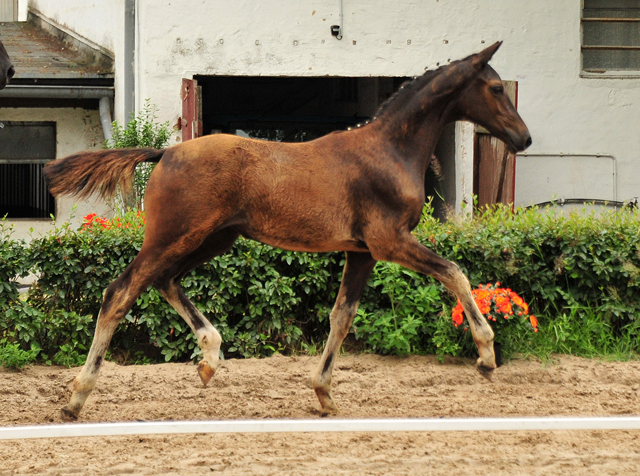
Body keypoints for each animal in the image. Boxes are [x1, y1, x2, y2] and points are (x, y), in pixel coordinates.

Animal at [45, 41, 528, 420]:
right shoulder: (389, 242)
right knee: (120, 292)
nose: (523, 138)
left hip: (213, 238)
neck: (390, 149)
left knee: (165, 280)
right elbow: (454, 271)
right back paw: (76, 399)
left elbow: (342, 315)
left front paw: (324, 394)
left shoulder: (362, 252)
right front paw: (486, 355)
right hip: (173, 237)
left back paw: (209, 358)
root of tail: (165, 152)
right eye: (496, 88)